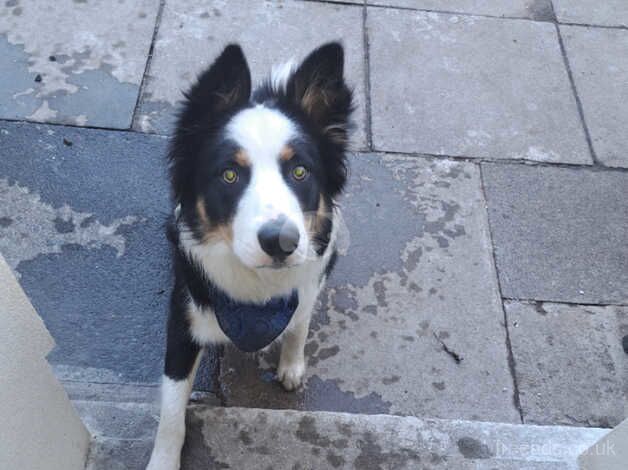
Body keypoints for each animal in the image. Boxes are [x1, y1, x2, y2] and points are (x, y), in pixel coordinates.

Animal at [147, 42, 354, 468]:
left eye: (300, 172)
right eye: (230, 174)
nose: (281, 242)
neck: (255, 291)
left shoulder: (307, 284)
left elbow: (299, 322)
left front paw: (291, 366)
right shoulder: (182, 319)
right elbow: (172, 408)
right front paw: (162, 460)